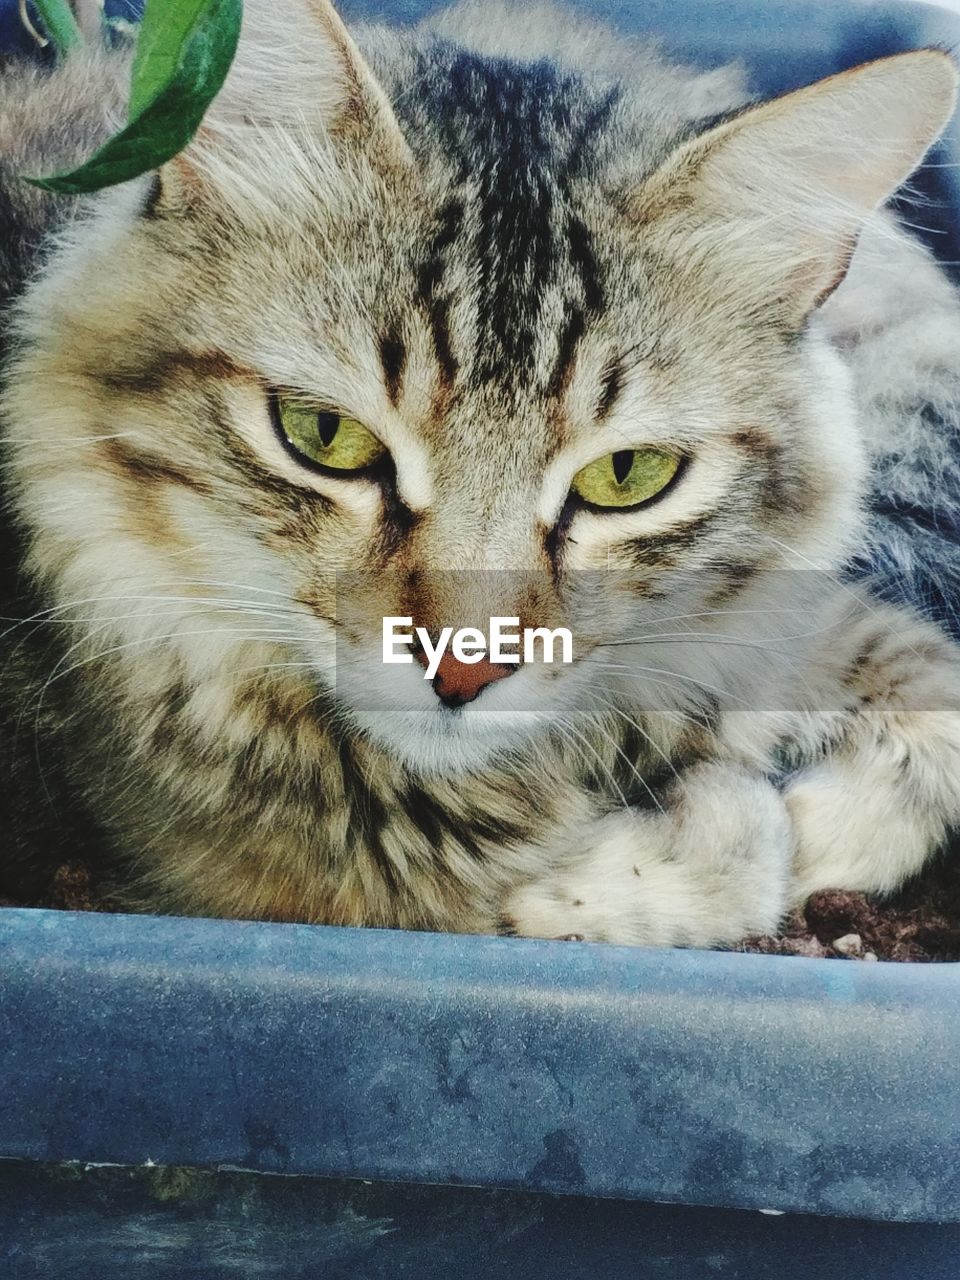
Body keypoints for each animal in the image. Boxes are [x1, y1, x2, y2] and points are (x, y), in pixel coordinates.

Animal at [0, 0, 960, 952]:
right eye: (324, 436)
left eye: (627, 475)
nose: (463, 675)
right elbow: (736, 849)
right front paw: (671, 843)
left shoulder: (778, 613)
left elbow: (922, 678)